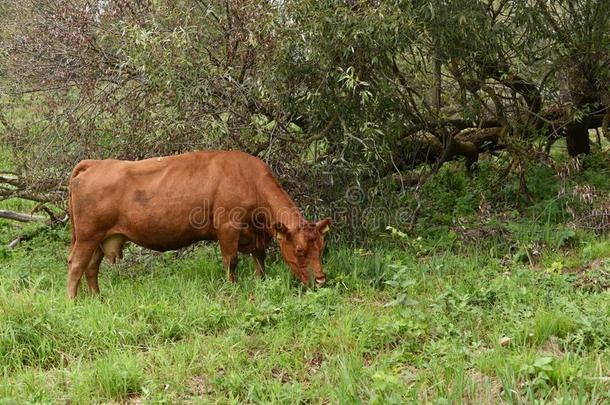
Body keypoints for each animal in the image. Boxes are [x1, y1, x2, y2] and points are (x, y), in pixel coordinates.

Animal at [67, 150, 330, 298]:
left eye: (321, 247)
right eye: (300, 250)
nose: (320, 280)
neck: (249, 179)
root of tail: (96, 164)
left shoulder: (255, 235)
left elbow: (260, 258)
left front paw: (261, 281)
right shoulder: (228, 227)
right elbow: (231, 262)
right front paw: (232, 290)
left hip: (101, 239)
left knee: (91, 268)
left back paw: (97, 299)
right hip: (87, 236)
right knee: (76, 266)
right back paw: (73, 302)